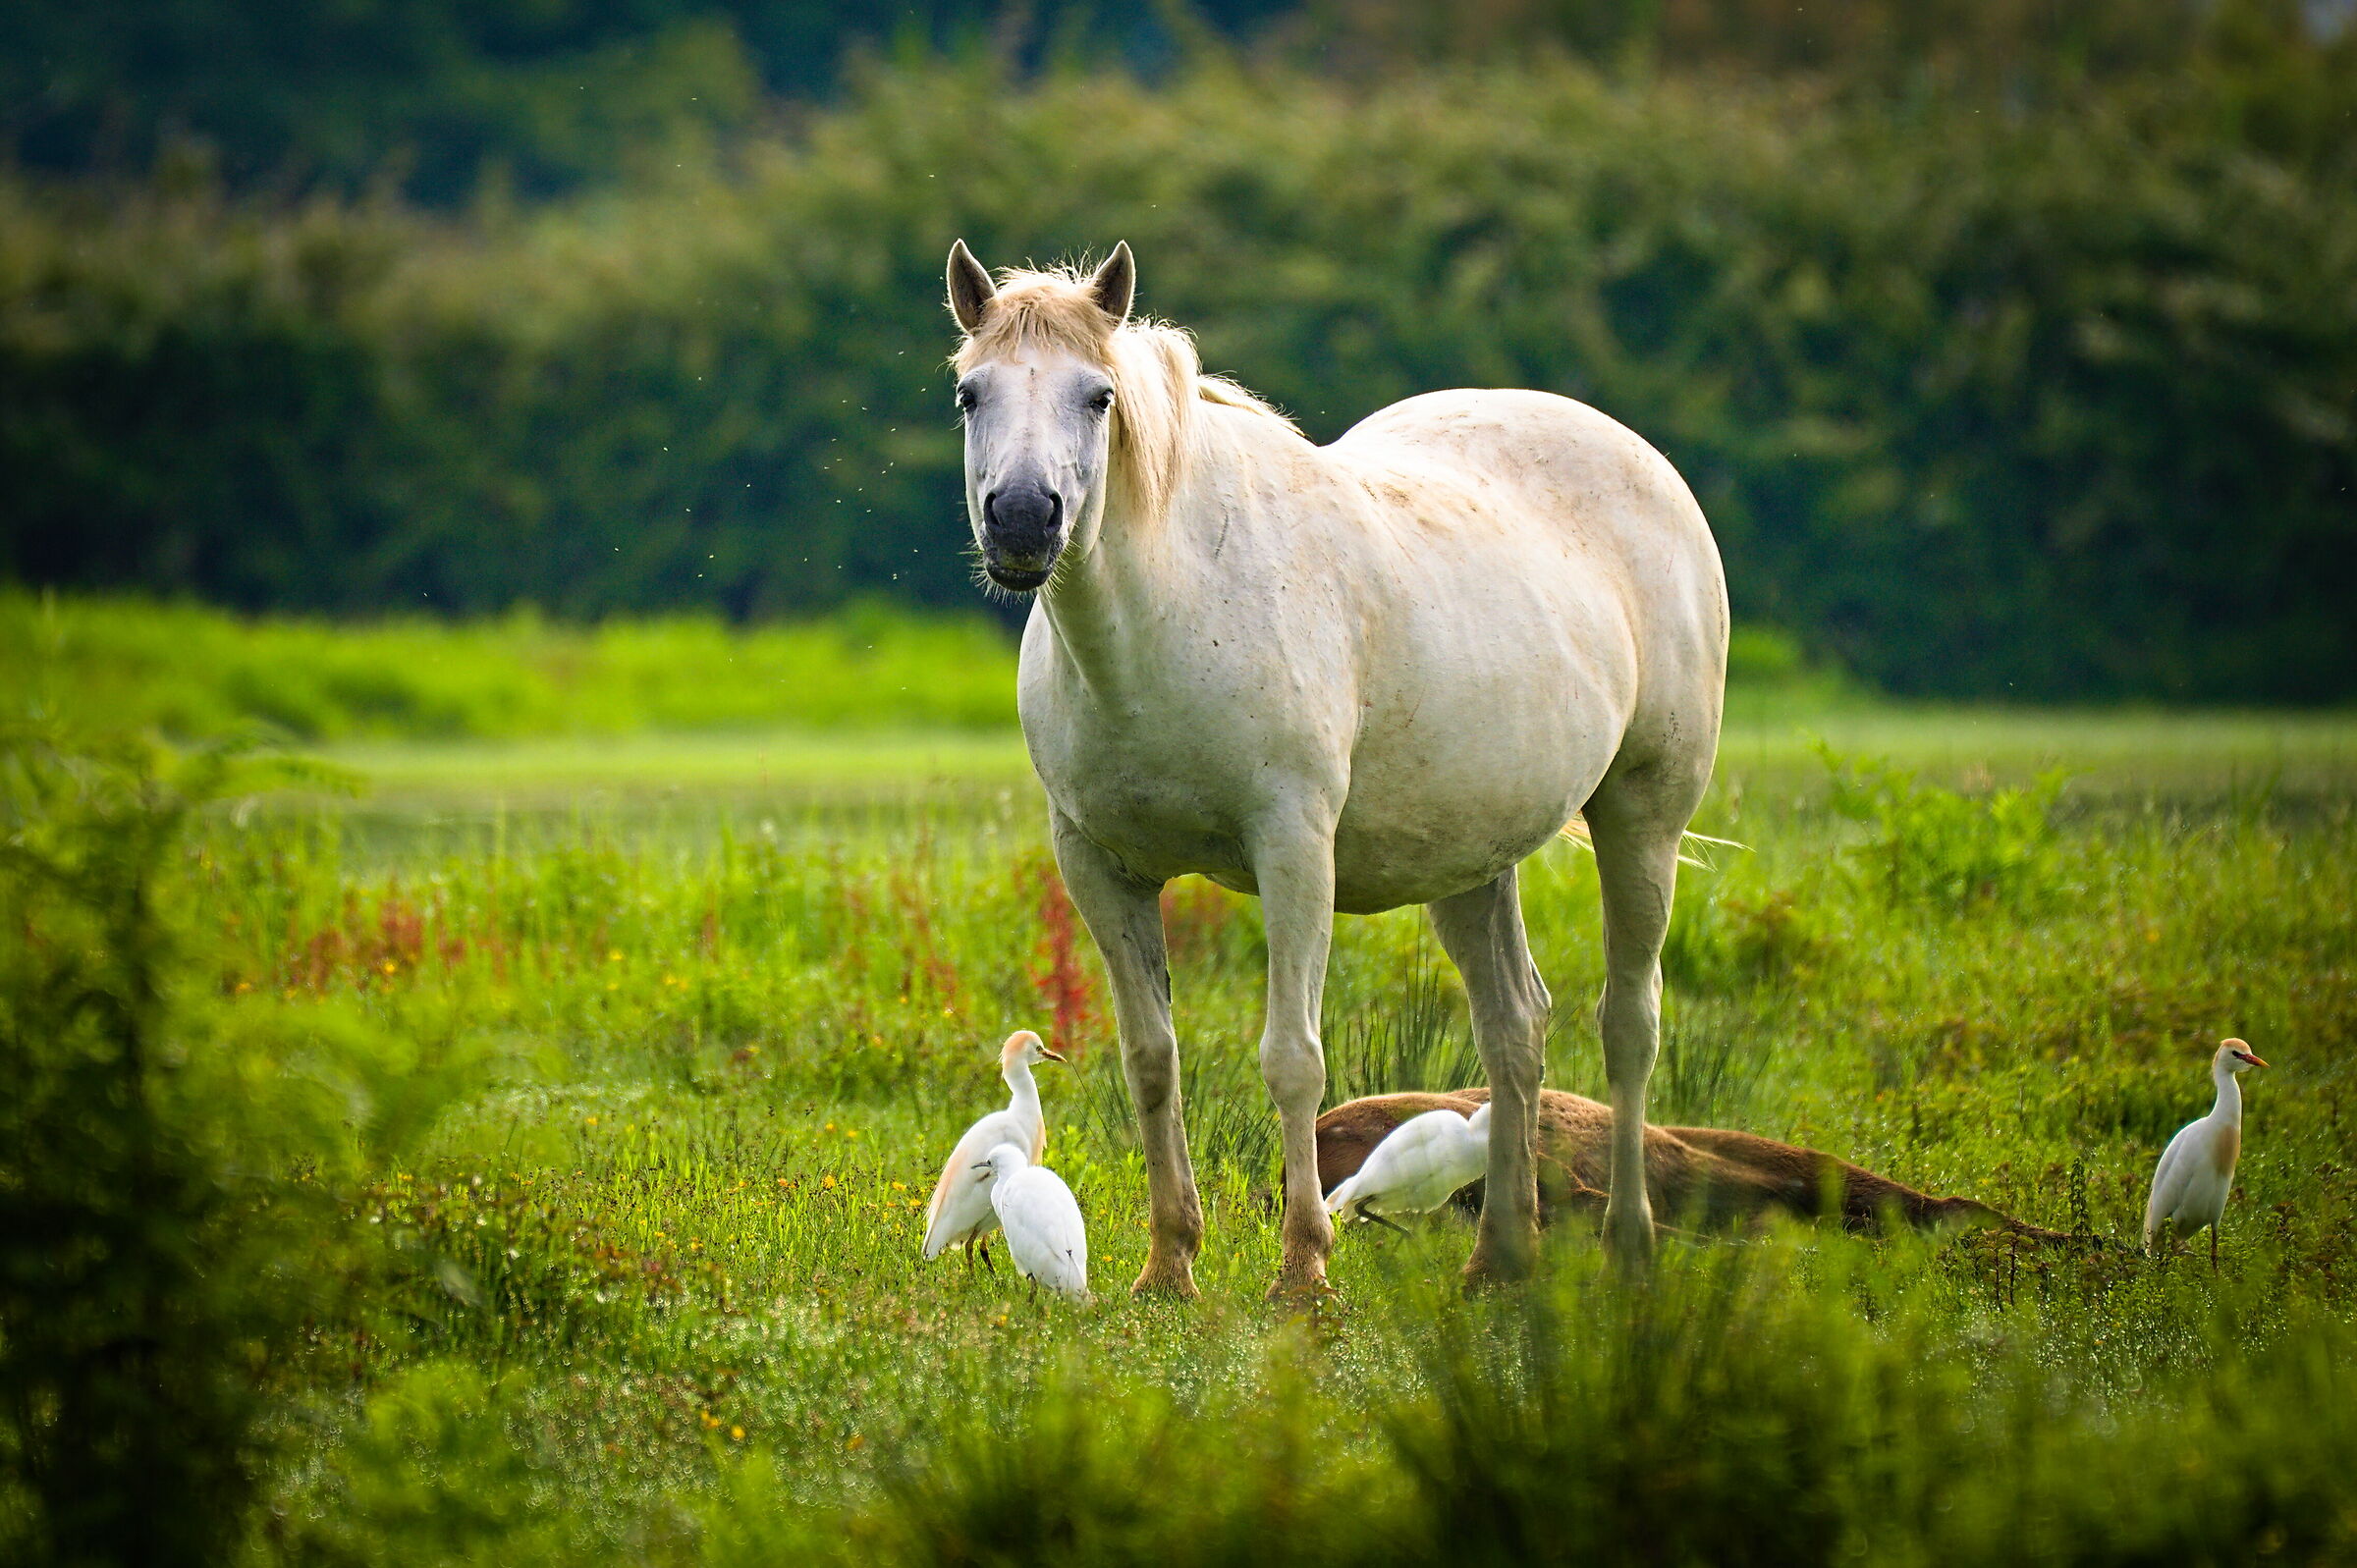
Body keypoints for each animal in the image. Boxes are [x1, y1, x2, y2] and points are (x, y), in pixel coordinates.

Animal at [944, 240, 1727, 1298]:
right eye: (969, 392)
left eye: (1098, 396)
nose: (1024, 520)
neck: (1170, 613)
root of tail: (1650, 467)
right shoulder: (1100, 866)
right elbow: (1151, 1057)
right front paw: (1169, 1265)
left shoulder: (1292, 850)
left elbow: (1294, 1061)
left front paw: (1304, 1272)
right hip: (1471, 861)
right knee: (1515, 1029)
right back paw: (1500, 1258)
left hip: (1644, 818)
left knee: (1629, 1022)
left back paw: (1629, 1249)